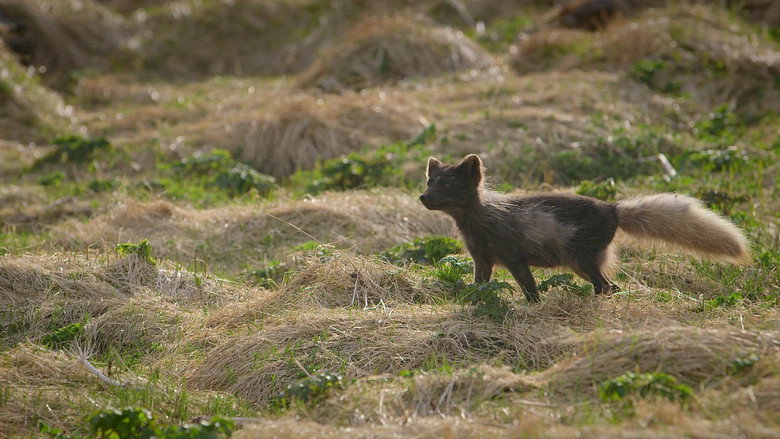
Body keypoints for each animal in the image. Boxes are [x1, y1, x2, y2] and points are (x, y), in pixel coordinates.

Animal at [419, 154, 751, 302]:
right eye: (430, 181)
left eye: (447, 185)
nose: (423, 197)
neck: (482, 220)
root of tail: (614, 209)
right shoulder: (482, 258)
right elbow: (480, 283)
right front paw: (473, 300)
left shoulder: (514, 257)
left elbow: (529, 287)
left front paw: (534, 306)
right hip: (581, 262)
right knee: (609, 285)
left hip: (582, 257)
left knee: (607, 285)